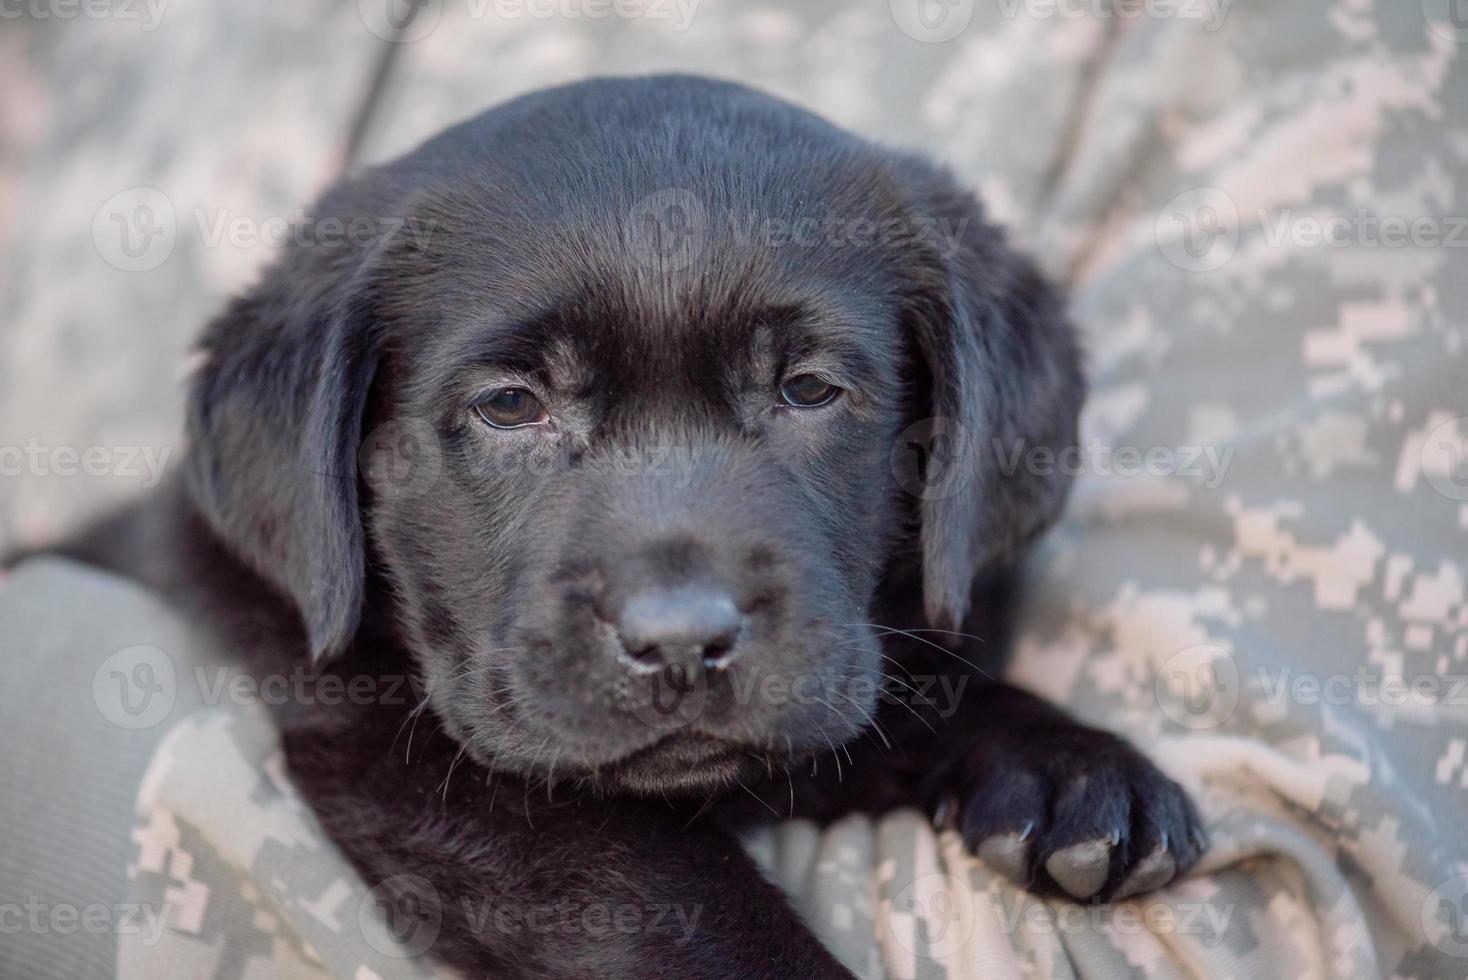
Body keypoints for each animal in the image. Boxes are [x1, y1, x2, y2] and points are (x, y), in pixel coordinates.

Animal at [45, 76, 1209, 979]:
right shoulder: (402, 756)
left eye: (809, 388)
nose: (682, 641)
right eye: (510, 405)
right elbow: (668, 891)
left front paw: (1072, 767)